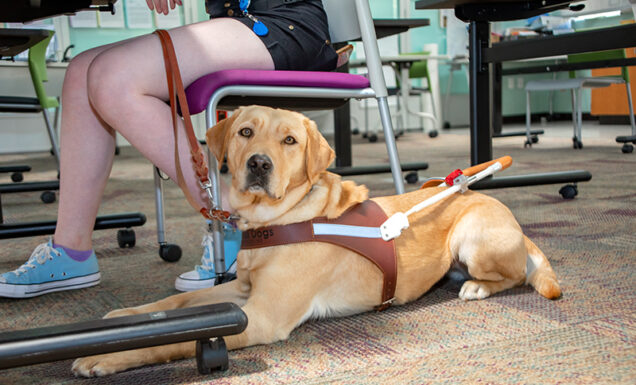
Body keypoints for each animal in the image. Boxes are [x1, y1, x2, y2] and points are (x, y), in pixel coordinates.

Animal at [73, 105, 560, 376]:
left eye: (290, 140)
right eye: (245, 131)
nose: (259, 164)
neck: (274, 220)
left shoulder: (261, 316)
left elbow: (169, 341)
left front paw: (105, 359)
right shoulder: (242, 290)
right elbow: (174, 305)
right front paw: (123, 317)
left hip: (471, 237)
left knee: (512, 276)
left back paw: (476, 287)